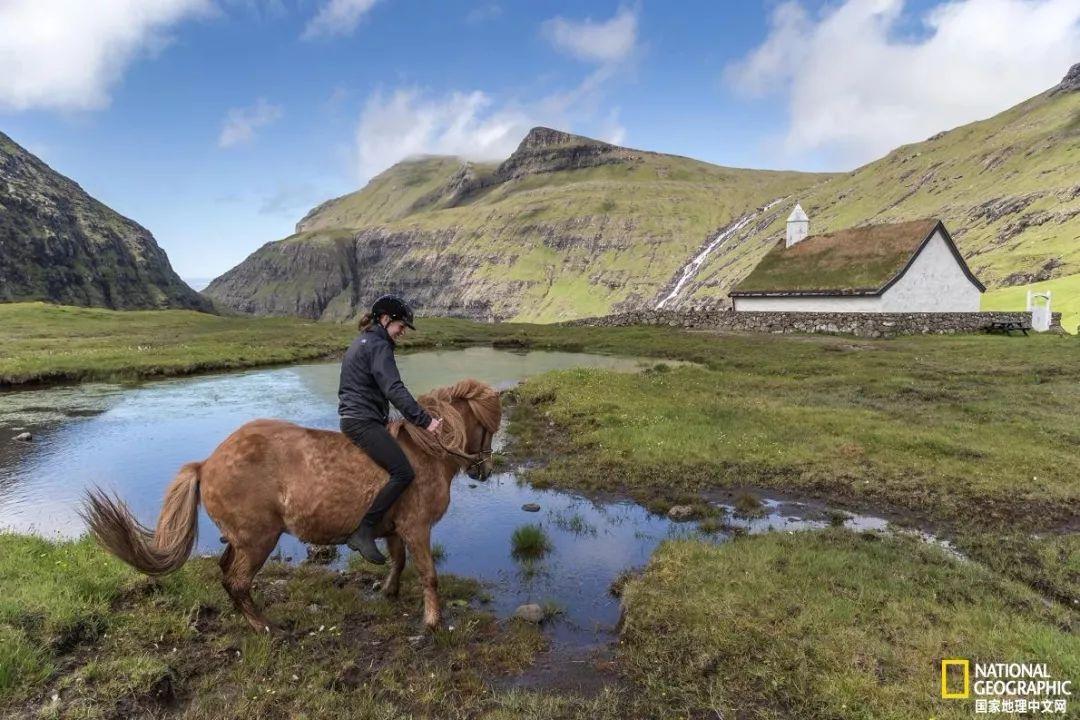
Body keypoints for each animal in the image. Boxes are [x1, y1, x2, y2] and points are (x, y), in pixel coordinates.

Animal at [81, 379, 501, 634]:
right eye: (489, 427)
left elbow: (397, 562)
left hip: (240, 539)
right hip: (258, 540)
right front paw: (432, 622)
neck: (426, 453)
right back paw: (265, 627)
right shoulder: (417, 528)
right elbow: (429, 574)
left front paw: (389, 591)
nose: (483, 471)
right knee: (236, 581)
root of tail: (206, 464)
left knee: (225, 572)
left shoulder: (395, 528)